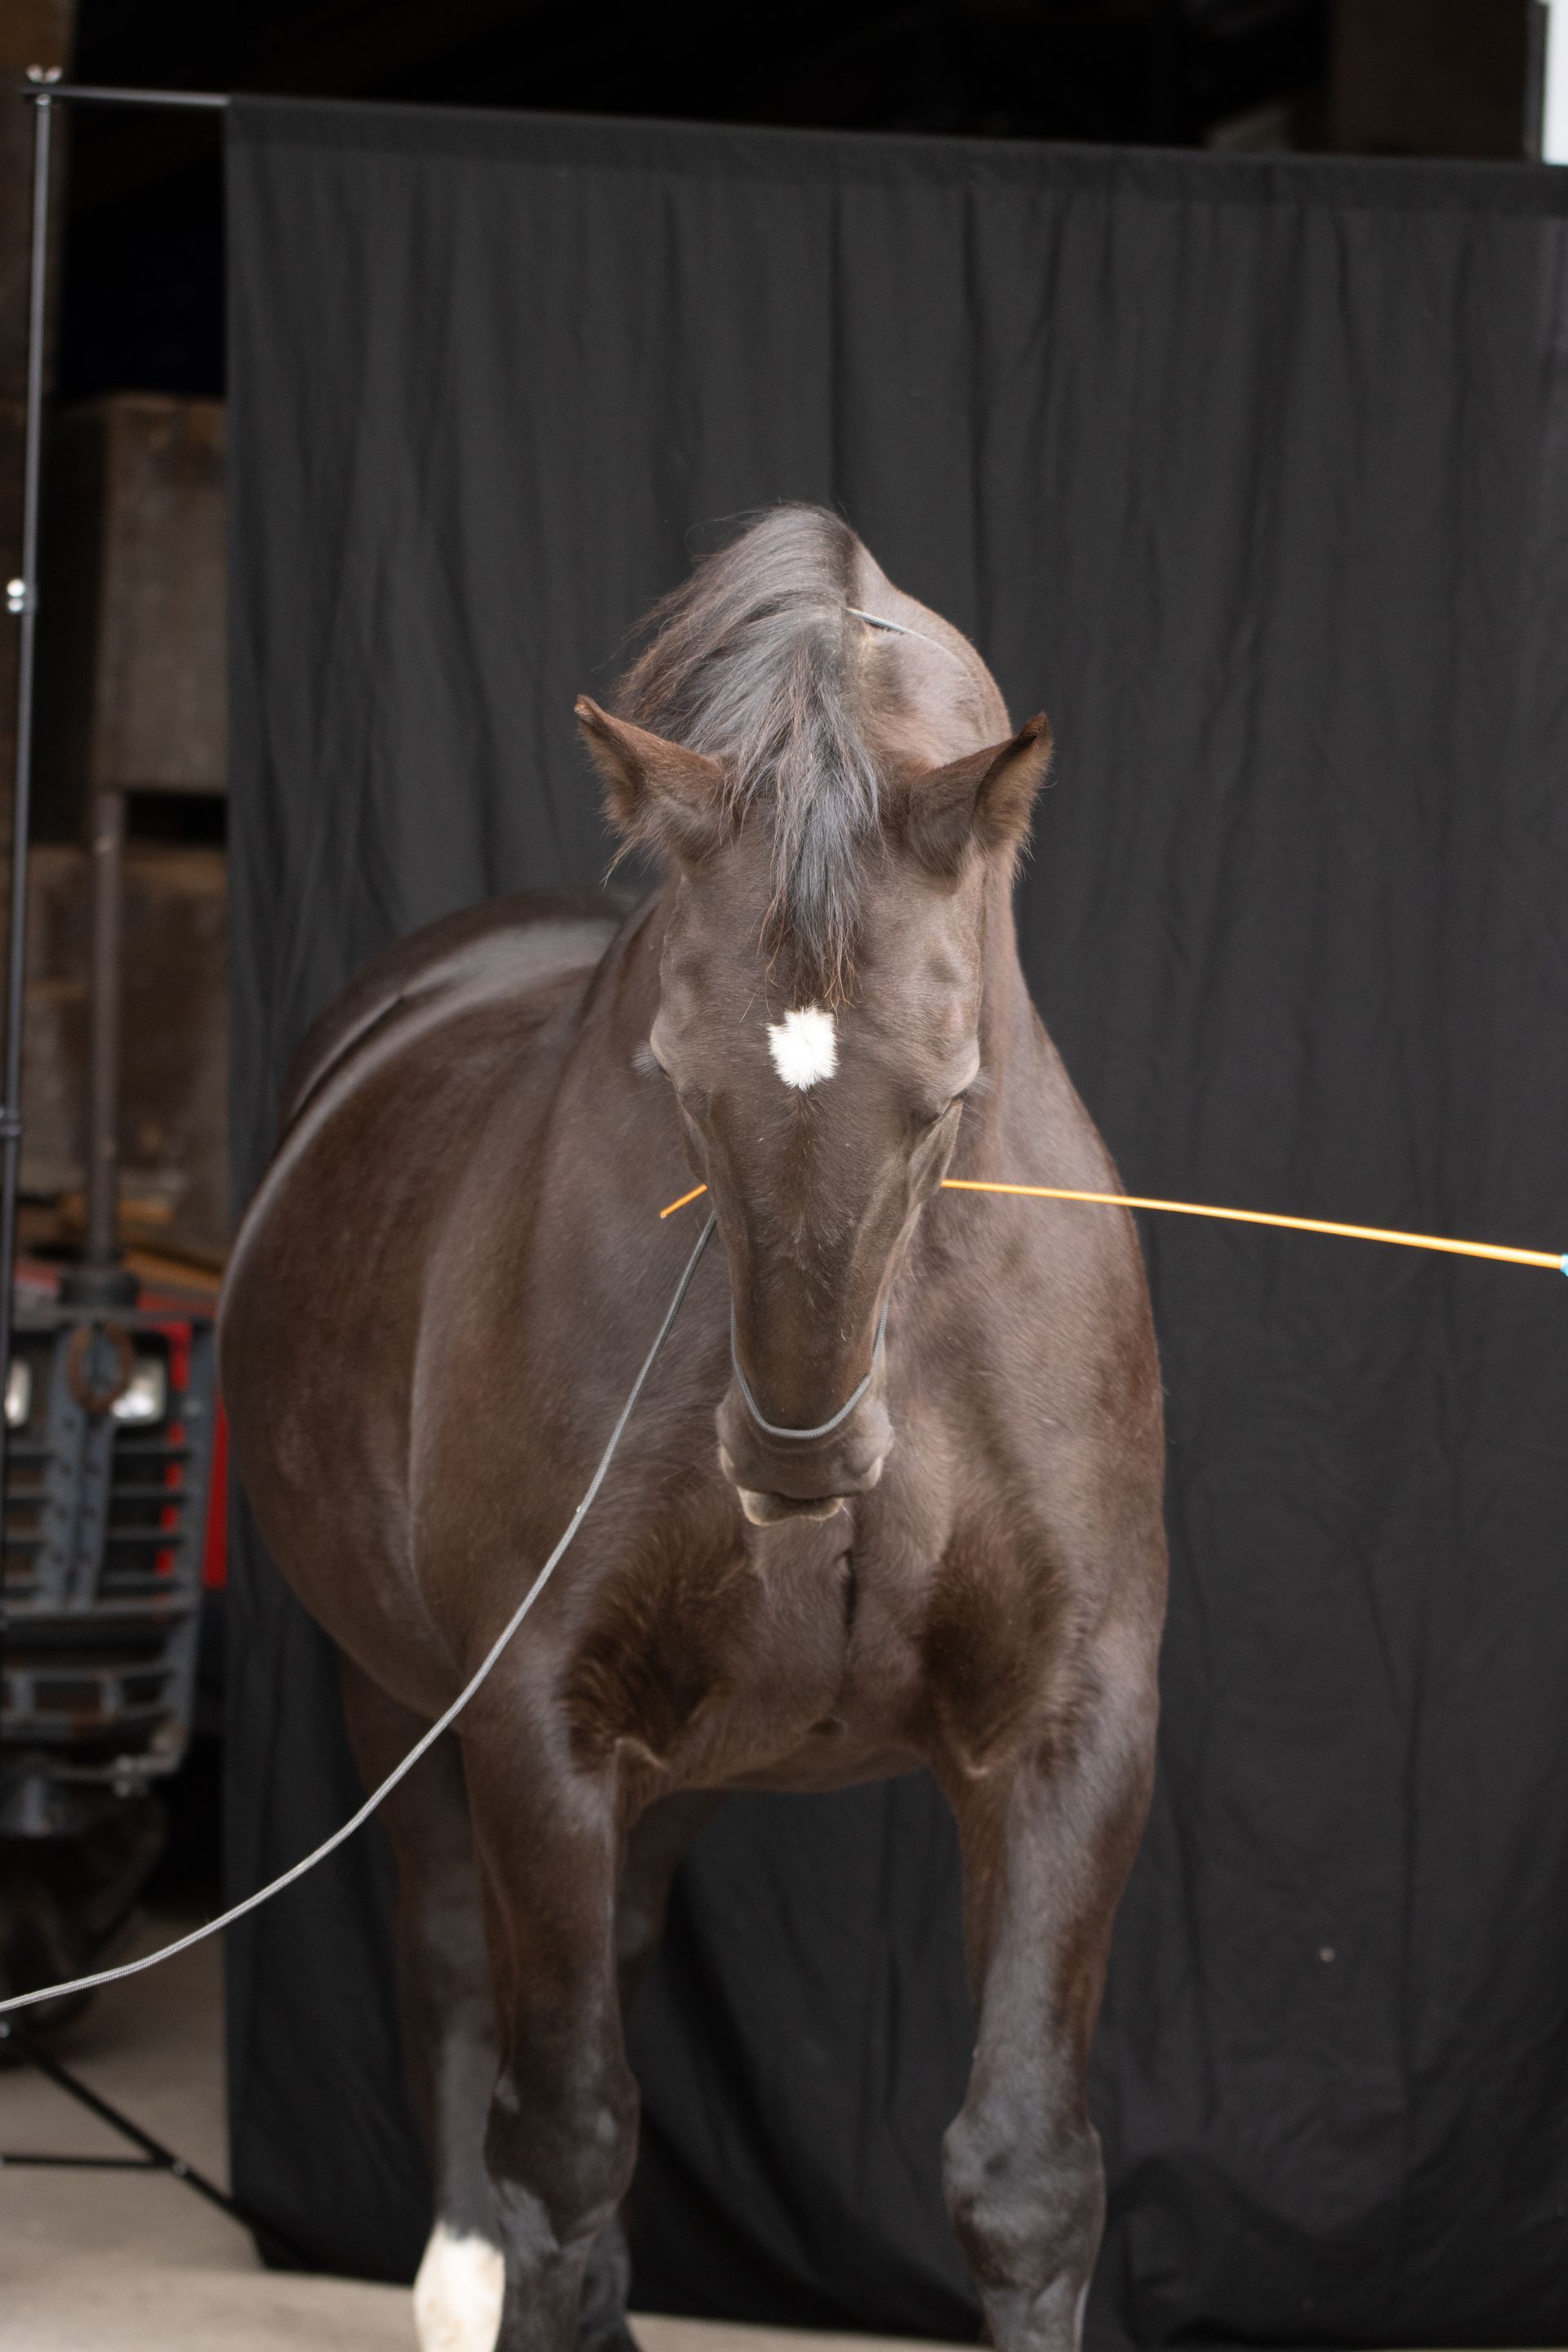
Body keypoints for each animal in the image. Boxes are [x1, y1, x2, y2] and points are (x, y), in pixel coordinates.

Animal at [219, 504, 1167, 2352]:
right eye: (674, 1072)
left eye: (950, 1094)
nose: (800, 1460)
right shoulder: (540, 1722)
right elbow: (569, 2144)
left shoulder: (1070, 1726)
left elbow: (1026, 2179)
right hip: (412, 1711)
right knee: (465, 1988)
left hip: (673, 1775)